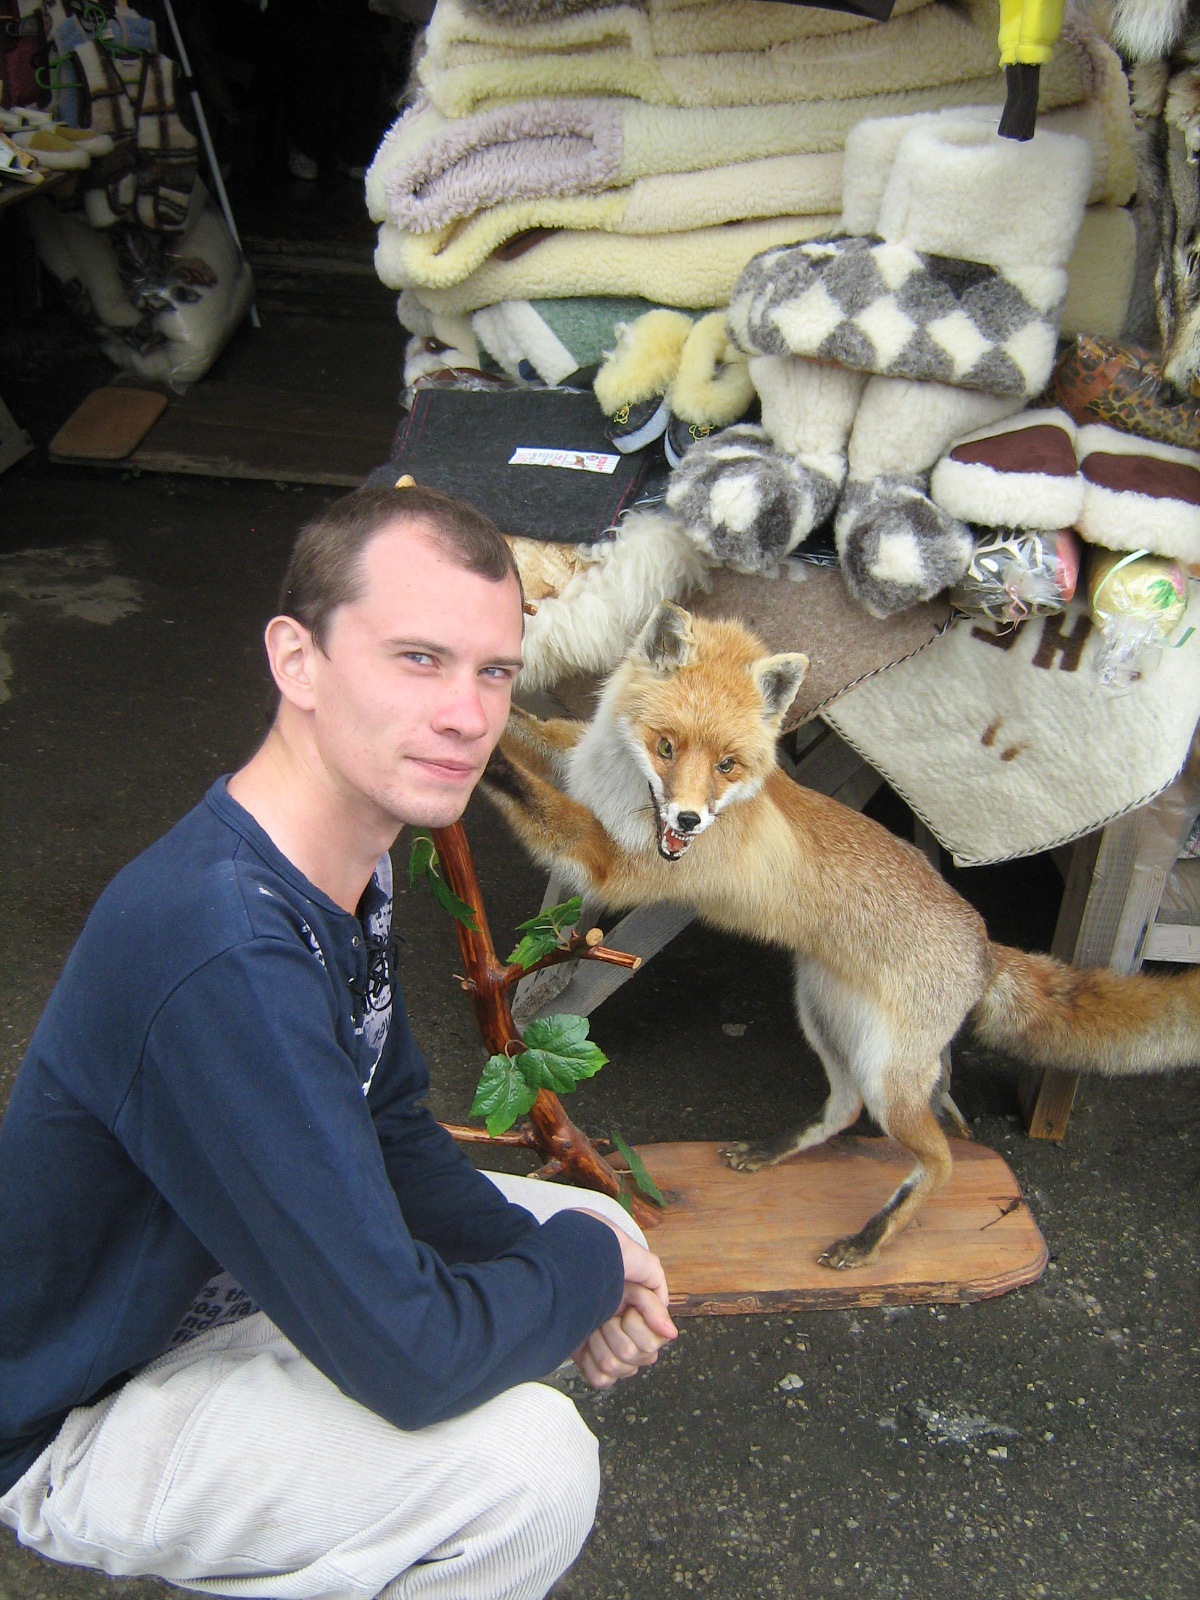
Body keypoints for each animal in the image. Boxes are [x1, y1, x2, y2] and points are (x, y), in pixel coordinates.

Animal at [481, 601, 1200, 1269]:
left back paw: (870, 1237)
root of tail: (984, 944)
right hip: (826, 1018)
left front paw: (484, 767)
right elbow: (530, 735)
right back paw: (774, 1151)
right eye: (666, 746)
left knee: (939, 1159)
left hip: (886, 1074)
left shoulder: (615, 863)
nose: (687, 822)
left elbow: (543, 805)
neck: (618, 786)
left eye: (728, 765)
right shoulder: (572, 762)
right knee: (847, 1109)